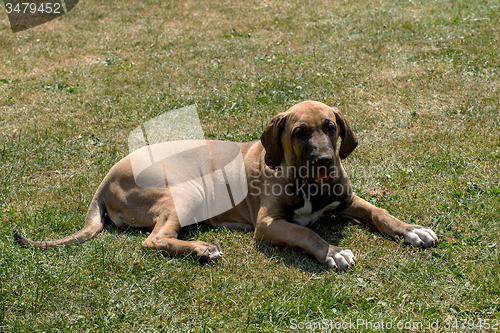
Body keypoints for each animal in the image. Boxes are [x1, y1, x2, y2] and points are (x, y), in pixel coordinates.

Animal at [14, 100, 438, 268]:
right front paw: (332, 251)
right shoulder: (269, 223)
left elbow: (380, 212)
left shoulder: (347, 200)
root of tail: (104, 180)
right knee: (154, 240)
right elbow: (307, 233)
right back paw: (203, 249)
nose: (324, 162)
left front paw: (412, 230)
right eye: (299, 132)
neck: (308, 184)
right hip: (186, 191)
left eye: (331, 127)